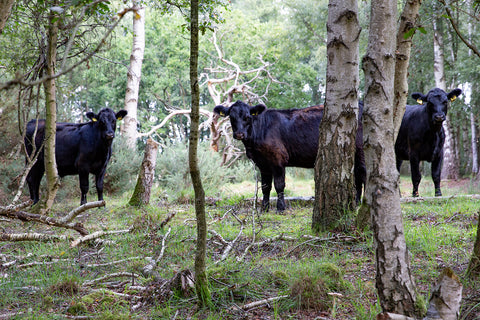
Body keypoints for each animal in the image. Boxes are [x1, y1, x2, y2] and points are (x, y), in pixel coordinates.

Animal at [214, 99, 364, 211]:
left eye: (247, 117)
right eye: (231, 117)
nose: (239, 134)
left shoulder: (278, 159)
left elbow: (279, 185)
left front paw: (280, 208)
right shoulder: (262, 164)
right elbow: (265, 187)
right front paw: (264, 208)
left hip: (360, 151)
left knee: (361, 175)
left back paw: (357, 203)